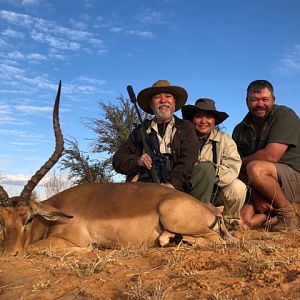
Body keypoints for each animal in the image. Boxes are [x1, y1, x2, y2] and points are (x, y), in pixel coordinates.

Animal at [0, 82, 234, 255]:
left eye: (28, 218)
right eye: (2, 220)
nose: (10, 254)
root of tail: (209, 209)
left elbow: (34, 248)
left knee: (216, 240)